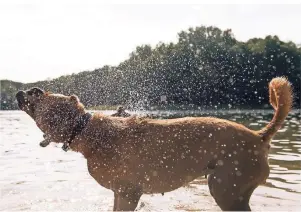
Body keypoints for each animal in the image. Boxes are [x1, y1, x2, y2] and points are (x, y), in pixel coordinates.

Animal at [15, 77, 290, 210]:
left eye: (38, 94)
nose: (22, 90)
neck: (87, 129)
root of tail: (260, 135)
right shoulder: (120, 194)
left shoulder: (128, 193)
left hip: (226, 190)